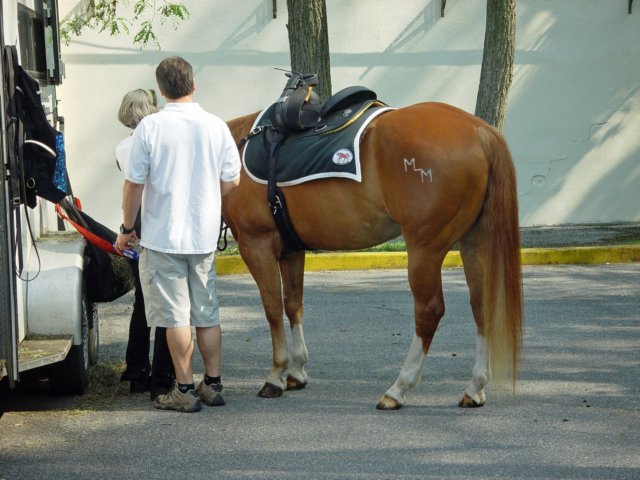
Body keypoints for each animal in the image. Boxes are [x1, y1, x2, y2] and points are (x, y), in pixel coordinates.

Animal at [222, 102, 524, 408]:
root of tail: (479, 131)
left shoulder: (255, 244)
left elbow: (272, 308)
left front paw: (277, 375)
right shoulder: (291, 250)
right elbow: (293, 305)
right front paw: (296, 370)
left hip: (425, 248)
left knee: (429, 311)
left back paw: (398, 388)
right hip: (474, 242)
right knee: (481, 305)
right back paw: (474, 388)